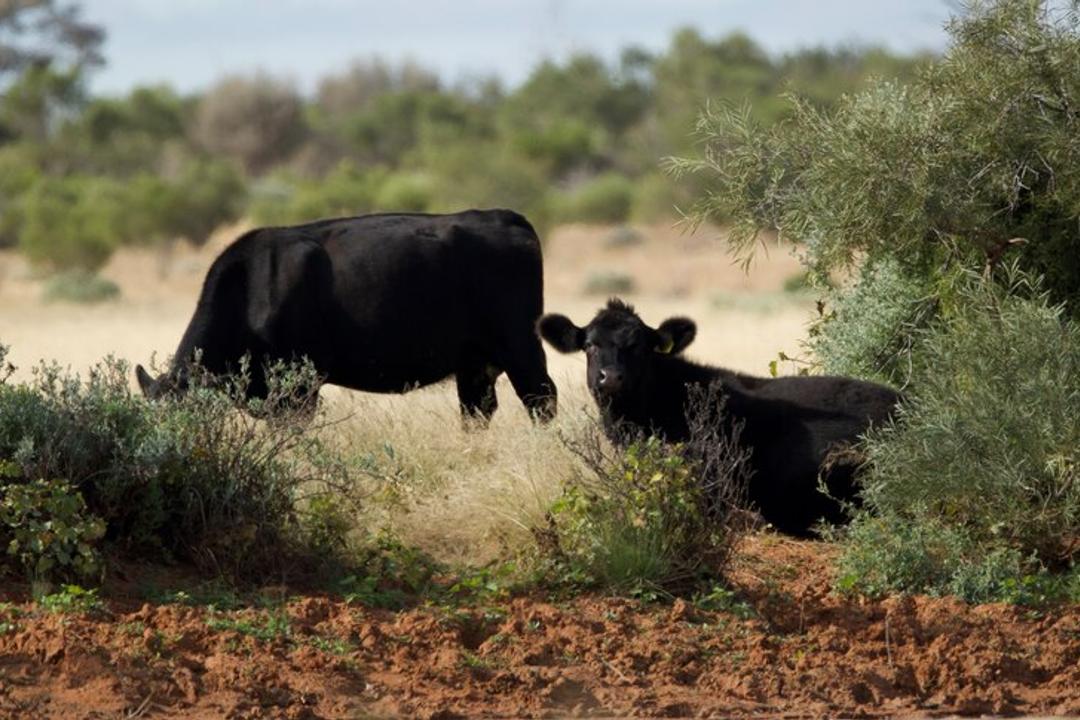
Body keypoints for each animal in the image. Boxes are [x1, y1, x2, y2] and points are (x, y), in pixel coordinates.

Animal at [136, 209, 557, 423]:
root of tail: (507, 217)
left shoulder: (299, 392)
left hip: (521, 346)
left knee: (541, 399)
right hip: (473, 363)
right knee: (477, 410)